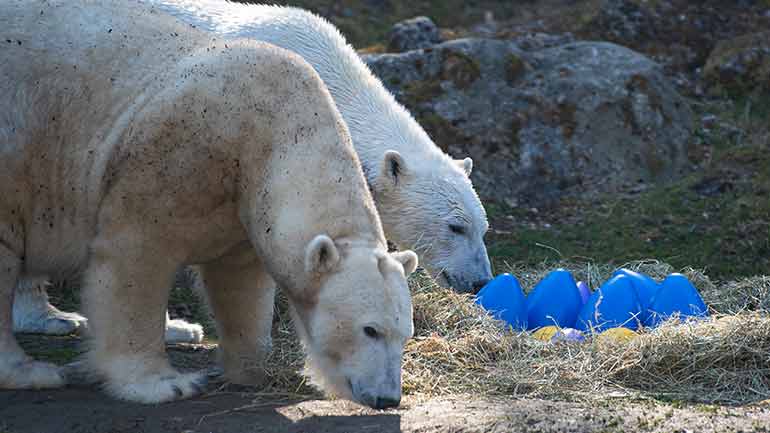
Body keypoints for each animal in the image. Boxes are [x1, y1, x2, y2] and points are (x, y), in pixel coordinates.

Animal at [0, 0, 414, 408]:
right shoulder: (176, 156)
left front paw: (252, 368)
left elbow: (240, 281)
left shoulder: (242, 201)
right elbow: (135, 259)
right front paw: (165, 384)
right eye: (370, 329)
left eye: (405, 333)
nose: (388, 398)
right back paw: (32, 371)